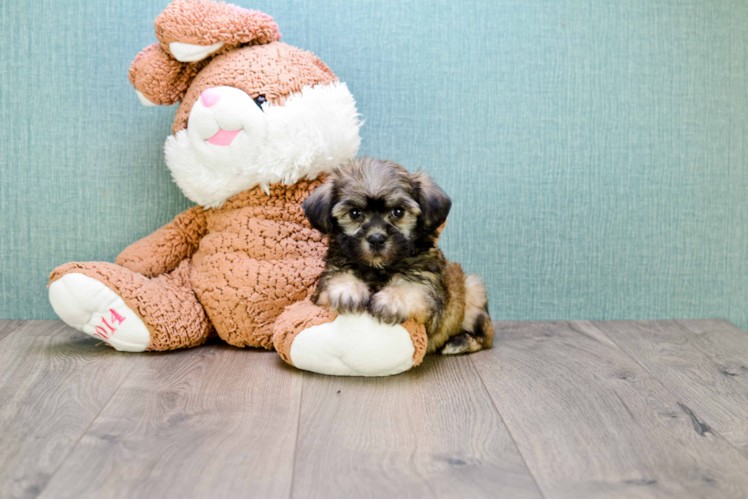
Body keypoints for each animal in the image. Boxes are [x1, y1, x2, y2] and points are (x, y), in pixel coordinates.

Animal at [300, 158, 494, 354]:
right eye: (355, 213)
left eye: (398, 212)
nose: (376, 239)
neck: (379, 268)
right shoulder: (330, 273)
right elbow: (336, 277)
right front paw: (348, 290)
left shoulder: (429, 286)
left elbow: (414, 287)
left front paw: (392, 299)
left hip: (474, 291)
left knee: (486, 335)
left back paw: (459, 342)